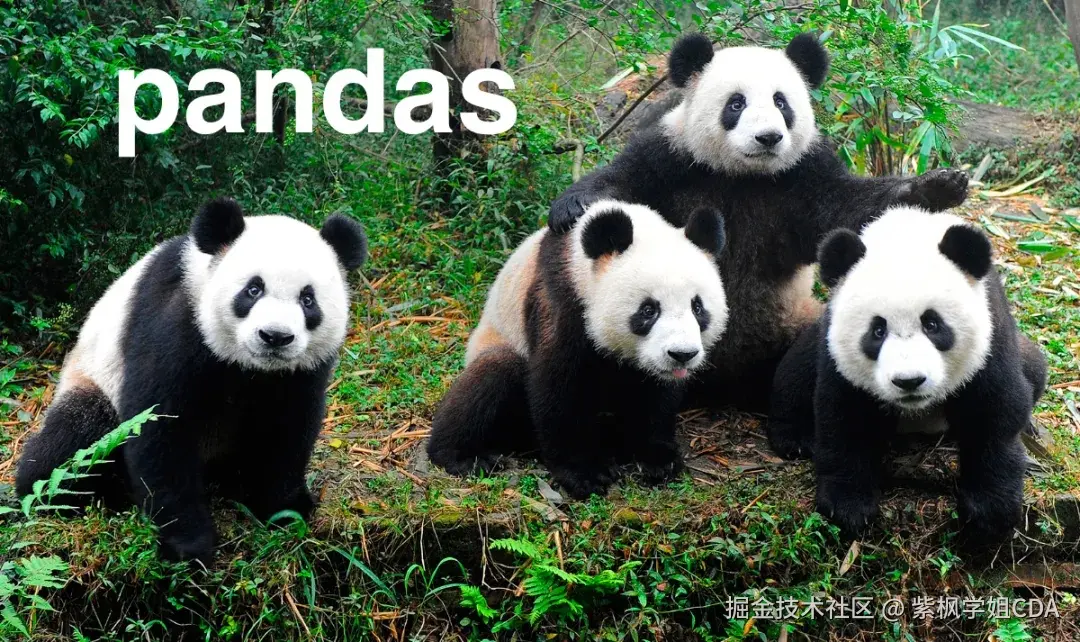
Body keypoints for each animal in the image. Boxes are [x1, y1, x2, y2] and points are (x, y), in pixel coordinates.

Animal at [15, 197, 367, 565]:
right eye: (253, 289)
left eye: (307, 299)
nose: (275, 336)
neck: (249, 366)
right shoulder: (176, 321)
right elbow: (160, 427)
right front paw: (188, 544)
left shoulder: (301, 371)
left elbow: (287, 429)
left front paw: (286, 509)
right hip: (92, 379)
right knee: (76, 441)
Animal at [426, 200, 729, 499]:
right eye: (648, 310)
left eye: (697, 307)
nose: (682, 354)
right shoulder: (561, 299)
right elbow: (558, 385)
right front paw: (585, 474)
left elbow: (655, 395)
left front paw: (658, 459)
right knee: (493, 374)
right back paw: (462, 456)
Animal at [547, 33, 970, 411]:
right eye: (736, 103)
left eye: (781, 102)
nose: (768, 137)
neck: (743, 175)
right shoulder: (672, 159)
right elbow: (623, 181)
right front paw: (572, 207)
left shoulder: (802, 176)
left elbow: (849, 209)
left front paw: (938, 187)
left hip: (792, 320)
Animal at [767, 206, 1047, 545]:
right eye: (877, 330)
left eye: (932, 324)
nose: (909, 381)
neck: (906, 236)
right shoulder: (837, 353)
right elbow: (844, 418)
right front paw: (848, 506)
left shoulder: (991, 335)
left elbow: (995, 412)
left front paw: (990, 512)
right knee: (796, 371)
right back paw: (794, 438)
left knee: (1035, 368)